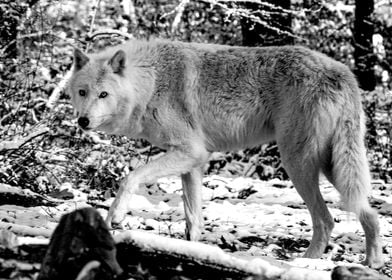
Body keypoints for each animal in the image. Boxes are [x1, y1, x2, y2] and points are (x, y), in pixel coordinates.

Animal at [67, 37, 382, 266]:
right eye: (82, 92)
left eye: (104, 94)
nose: (83, 121)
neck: (151, 82)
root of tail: (344, 73)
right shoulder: (192, 164)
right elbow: (192, 220)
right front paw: (191, 253)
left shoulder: (192, 152)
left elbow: (130, 177)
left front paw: (115, 216)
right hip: (333, 167)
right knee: (369, 215)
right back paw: (372, 263)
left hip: (298, 164)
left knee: (326, 220)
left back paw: (306, 264)